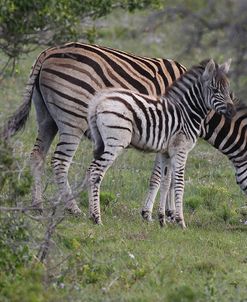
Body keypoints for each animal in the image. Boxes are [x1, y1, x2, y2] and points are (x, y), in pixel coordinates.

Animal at [86, 59, 234, 228]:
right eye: (215, 90)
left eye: (228, 89)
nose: (232, 111)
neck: (187, 113)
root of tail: (99, 100)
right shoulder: (180, 150)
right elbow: (179, 183)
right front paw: (180, 221)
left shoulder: (166, 152)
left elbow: (165, 182)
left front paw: (162, 219)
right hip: (116, 142)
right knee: (96, 171)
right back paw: (97, 218)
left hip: (101, 142)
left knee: (90, 170)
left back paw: (91, 215)